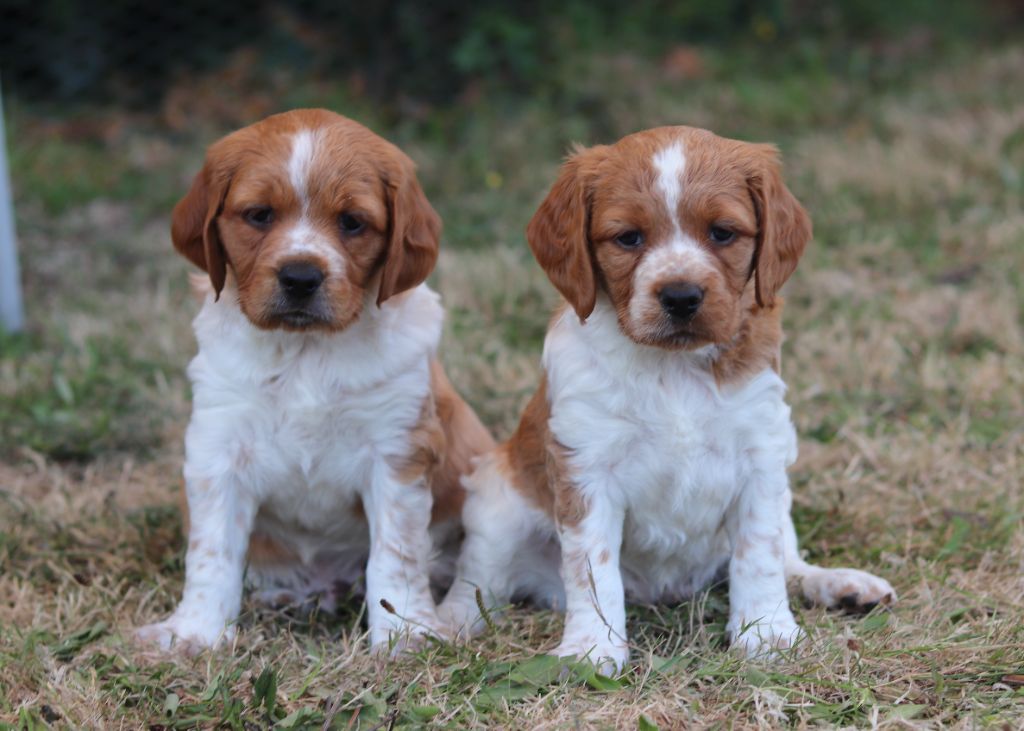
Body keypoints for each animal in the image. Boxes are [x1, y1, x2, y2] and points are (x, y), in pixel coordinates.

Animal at [137, 106, 495, 651]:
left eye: (352, 222)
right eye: (259, 215)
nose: (301, 277)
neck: (306, 350)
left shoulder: (396, 451)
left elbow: (395, 554)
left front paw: (401, 635)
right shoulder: (219, 446)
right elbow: (212, 553)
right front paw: (195, 633)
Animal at [440, 126, 897, 671]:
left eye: (722, 232)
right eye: (628, 238)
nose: (681, 296)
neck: (673, 366)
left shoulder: (762, 456)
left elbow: (759, 554)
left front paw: (766, 634)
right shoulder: (585, 467)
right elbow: (591, 567)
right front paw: (593, 648)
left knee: (787, 558)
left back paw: (839, 584)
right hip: (497, 502)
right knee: (477, 582)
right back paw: (435, 627)